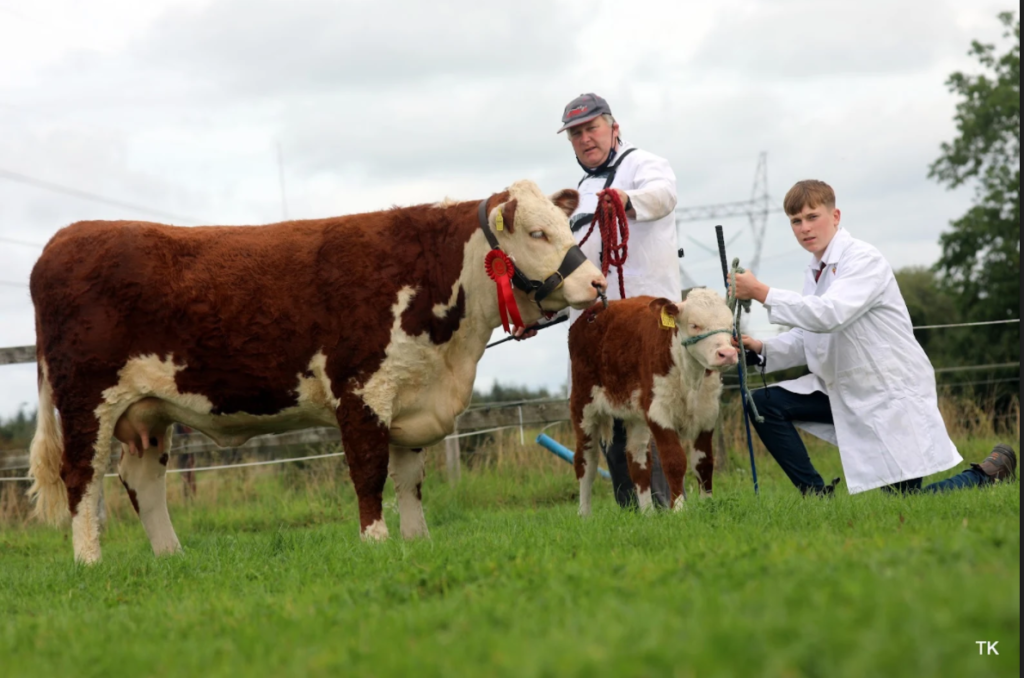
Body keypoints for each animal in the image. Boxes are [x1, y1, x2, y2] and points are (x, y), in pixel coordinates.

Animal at [27, 179, 607, 563]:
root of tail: (64, 239)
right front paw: (375, 542)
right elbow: (369, 472)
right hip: (86, 400)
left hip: (148, 413)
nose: (598, 283)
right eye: (537, 232)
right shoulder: (361, 391)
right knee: (82, 478)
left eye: (567, 225)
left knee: (142, 479)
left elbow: (410, 478)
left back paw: (173, 556)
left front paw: (417, 540)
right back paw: (89, 561)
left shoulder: (411, 394)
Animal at [567, 290, 739, 514]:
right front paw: (679, 508)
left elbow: (704, 462)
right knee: (586, 461)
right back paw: (584, 515)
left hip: (636, 415)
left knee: (637, 460)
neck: (689, 377)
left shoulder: (708, 412)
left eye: (730, 324)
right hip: (583, 407)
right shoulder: (658, 411)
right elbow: (674, 460)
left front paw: (707, 505)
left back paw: (648, 514)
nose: (727, 354)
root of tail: (593, 311)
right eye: (694, 325)